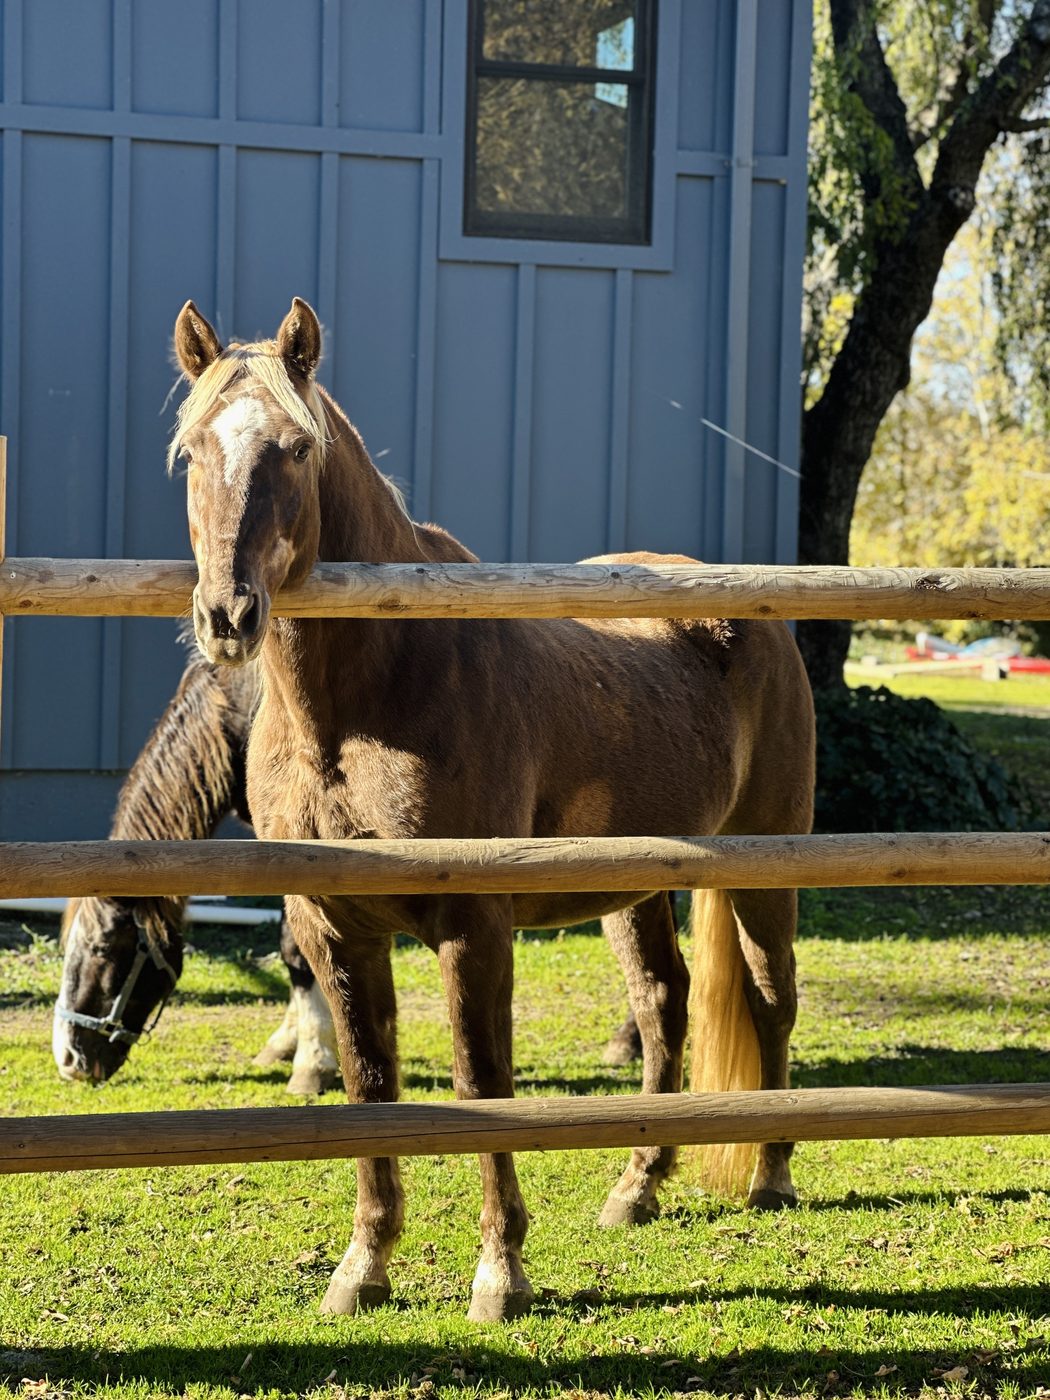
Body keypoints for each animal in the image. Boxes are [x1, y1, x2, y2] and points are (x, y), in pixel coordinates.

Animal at [51, 650, 339, 1093]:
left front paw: (313, 1061)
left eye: (103, 947)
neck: (242, 708)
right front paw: (286, 1042)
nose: (68, 1059)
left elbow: (297, 947)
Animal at [170, 297, 815, 1322]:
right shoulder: (335, 931)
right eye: (192, 451)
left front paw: (500, 1274)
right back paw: (637, 1187)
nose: (228, 617)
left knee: (769, 997)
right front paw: (363, 1269)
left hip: (767, 864)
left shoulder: (472, 926)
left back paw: (771, 1174)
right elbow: (370, 1086)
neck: (367, 701)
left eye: (297, 449)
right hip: (636, 887)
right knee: (664, 1003)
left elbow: (481, 1085)